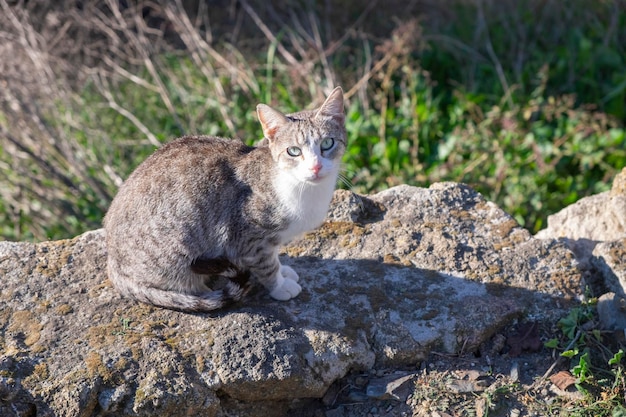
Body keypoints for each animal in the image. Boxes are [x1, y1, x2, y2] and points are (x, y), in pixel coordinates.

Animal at [103, 86, 346, 310]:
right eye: (294, 151)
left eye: (327, 144)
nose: (315, 167)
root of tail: (113, 266)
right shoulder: (247, 238)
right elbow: (267, 265)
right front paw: (279, 285)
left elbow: (274, 255)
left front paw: (283, 269)